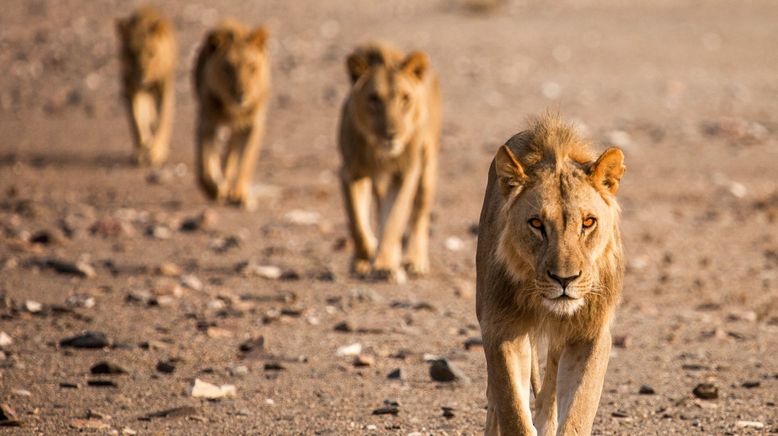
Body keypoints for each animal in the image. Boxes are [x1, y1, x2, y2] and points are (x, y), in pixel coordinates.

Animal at [115, 6, 176, 167]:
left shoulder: (164, 88)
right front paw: (140, 152)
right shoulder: (130, 89)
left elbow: (163, 120)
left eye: (151, 53)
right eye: (131, 54)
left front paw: (156, 152)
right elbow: (136, 122)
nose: (142, 76)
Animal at [192, 20, 270, 209]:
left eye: (251, 67)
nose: (241, 94)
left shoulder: (253, 125)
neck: (235, 109)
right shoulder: (208, 121)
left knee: (232, 155)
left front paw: (239, 194)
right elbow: (205, 162)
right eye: (228, 68)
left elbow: (246, 160)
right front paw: (213, 189)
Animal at [336, 42, 440, 284]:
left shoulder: (406, 174)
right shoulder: (349, 173)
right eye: (374, 99)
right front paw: (367, 254)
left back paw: (414, 260)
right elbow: (356, 221)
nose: (391, 135)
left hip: (427, 167)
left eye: (405, 98)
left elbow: (394, 220)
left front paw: (384, 265)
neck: (380, 154)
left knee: (418, 214)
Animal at [472, 114, 624, 434]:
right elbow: (513, 410)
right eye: (536, 224)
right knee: (495, 396)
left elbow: (578, 410)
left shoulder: (590, 332)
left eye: (588, 222)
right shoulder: (502, 328)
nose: (564, 280)